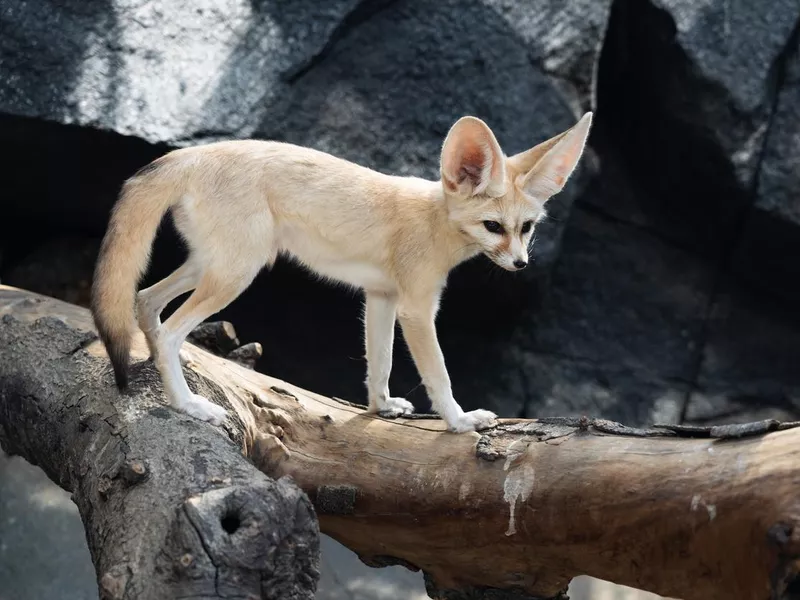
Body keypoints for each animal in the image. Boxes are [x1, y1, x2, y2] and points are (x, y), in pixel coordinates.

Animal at [92, 111, 592, 432]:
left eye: (526, 228)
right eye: (493, 227)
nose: (521, 263)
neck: (433, 219)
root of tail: (192, 154)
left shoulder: (382, 298)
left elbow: (379, 362)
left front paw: (381, 407)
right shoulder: (416, 309)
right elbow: (439, 375)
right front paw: (459, 421)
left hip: (210, 266)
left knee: (144, 302)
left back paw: (159, 370)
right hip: (235, 274)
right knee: (169, 332)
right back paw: (187, 405)